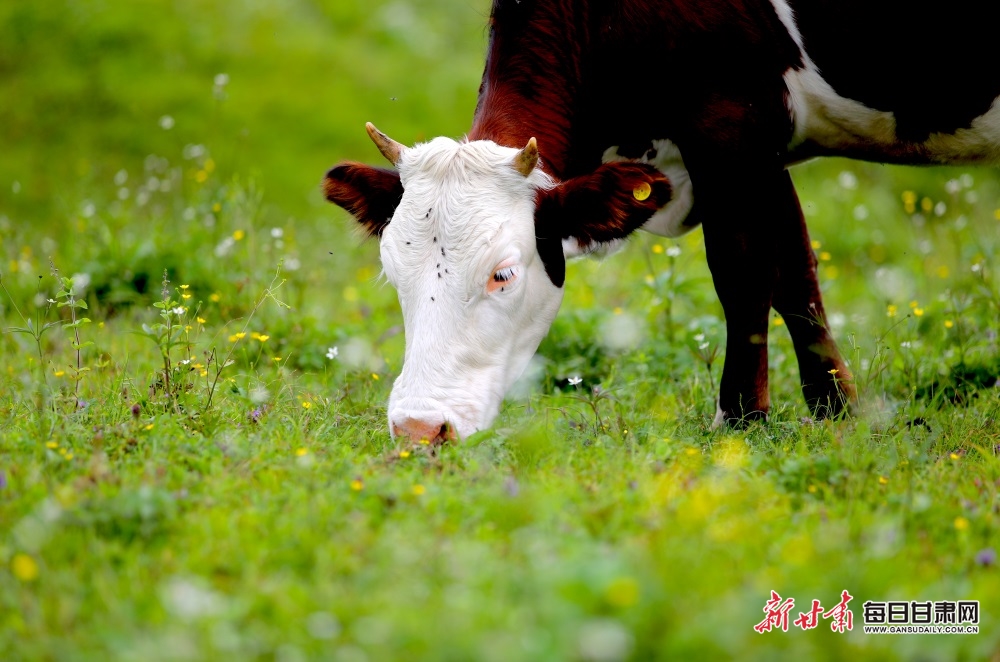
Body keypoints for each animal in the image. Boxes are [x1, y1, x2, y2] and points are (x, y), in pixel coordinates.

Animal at [326, 1, 1000, 446]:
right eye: (392, 273)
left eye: (503, 274)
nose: (418, 428)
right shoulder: (756, 147)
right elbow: (795, 271)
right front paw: (837, 410)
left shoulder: (732, 123)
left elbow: (744, 270)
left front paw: (742, 419)